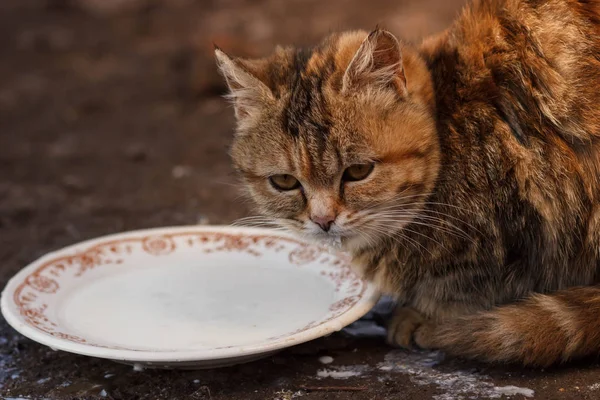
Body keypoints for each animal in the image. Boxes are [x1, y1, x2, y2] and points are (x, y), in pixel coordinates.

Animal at [214, 0, 600, 368]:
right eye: (284, 181)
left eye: (358, 171)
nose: (323, 220)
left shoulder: (522, 221)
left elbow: (472, 287)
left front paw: (424, 317)